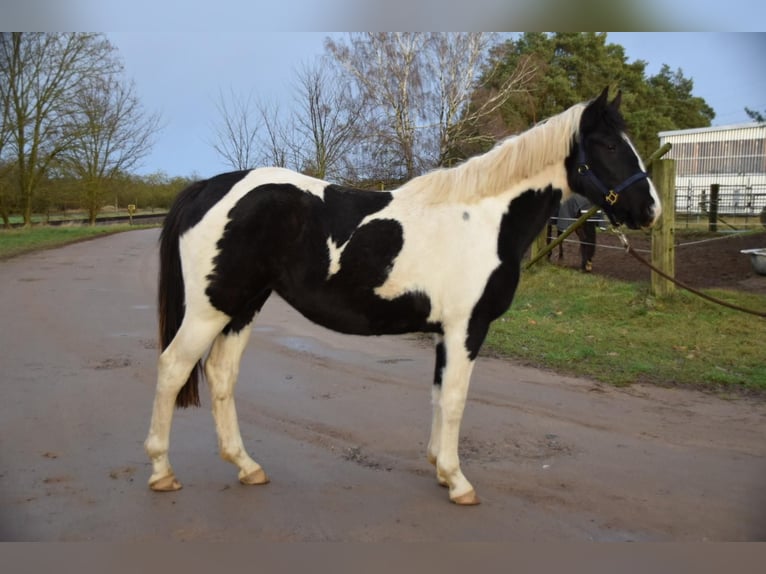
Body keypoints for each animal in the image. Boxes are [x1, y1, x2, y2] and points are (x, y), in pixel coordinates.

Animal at [147, 88, 664, 506]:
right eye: (610, 145)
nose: (650, 210)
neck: (484, 219)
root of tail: (205, 188)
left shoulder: (444, 333)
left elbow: (438, 395)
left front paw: (439, 468)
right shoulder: (466, 329)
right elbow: (455, 399)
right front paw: (459, 482)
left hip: (242, 307)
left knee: (221, 373)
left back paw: (247, 466)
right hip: (211, 309)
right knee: (173, 367)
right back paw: (162, 472)